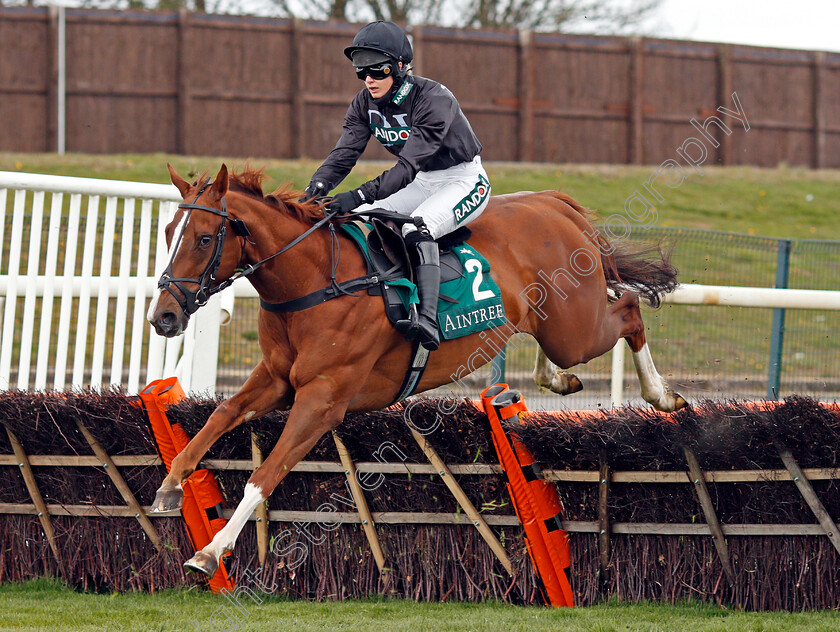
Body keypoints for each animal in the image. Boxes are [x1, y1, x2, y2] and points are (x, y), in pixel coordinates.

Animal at [148, 164, 684, 576]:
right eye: (169, 234)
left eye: (202, 238)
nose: (163, 317)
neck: (316, 281)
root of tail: (553, 202)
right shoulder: (277, 379)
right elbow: (220, 416)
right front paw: (170, 487)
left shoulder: (323, 399)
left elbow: (264, 476)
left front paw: (211, 551)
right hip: (554, 319)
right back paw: (556, 378)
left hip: (577, 329)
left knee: (630, 308)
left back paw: (662, 395)